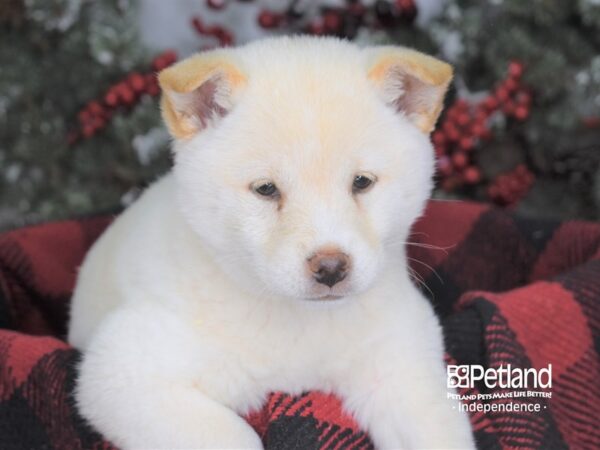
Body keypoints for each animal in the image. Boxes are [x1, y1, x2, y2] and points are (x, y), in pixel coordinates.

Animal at [68, 36, 476, 450]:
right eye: (266, 189)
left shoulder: (402, 365)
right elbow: (233, 436)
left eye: (362, 182)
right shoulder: (124, 370)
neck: (296, 321)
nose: (331, 267)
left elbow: (439, 432)